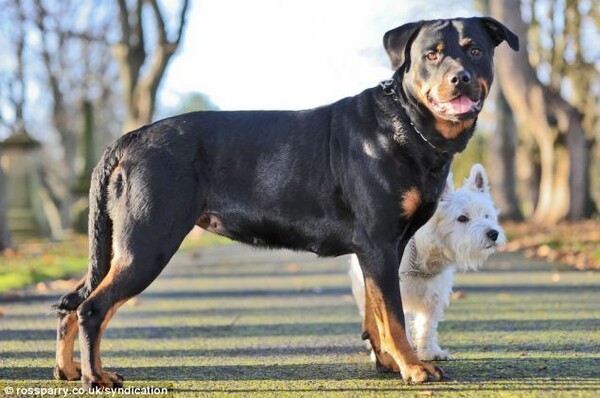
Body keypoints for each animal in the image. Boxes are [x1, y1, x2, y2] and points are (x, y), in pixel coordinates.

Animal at [350, 163, 504, 362]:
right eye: (462, 218)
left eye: (486, 215)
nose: (493, 234)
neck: (424, 257)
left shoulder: (434, 298)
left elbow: (427, 326)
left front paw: (430, 352)